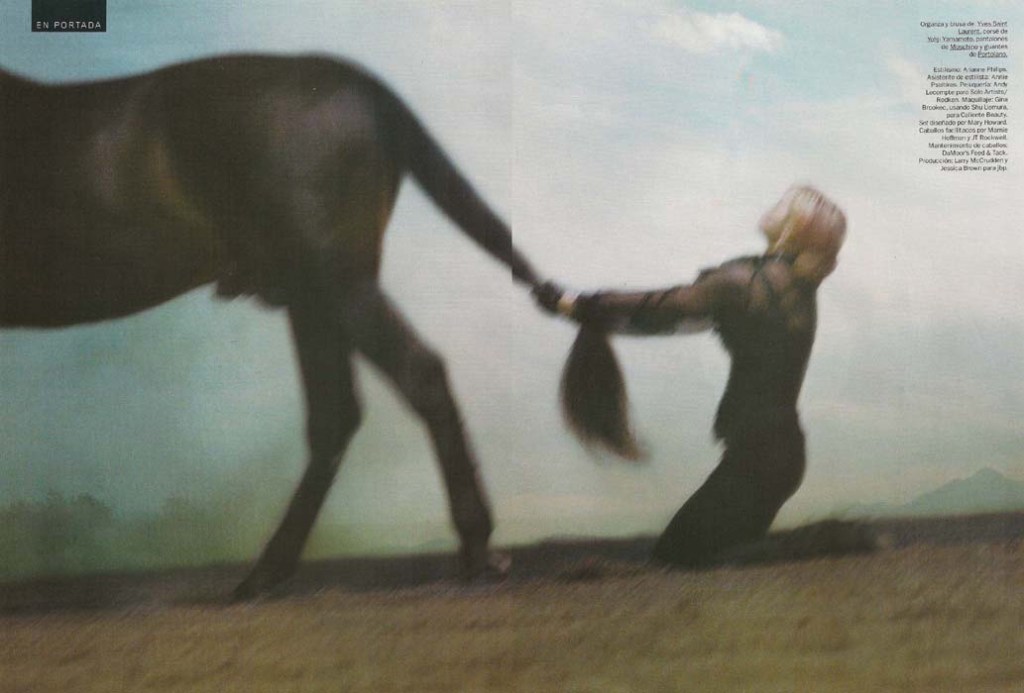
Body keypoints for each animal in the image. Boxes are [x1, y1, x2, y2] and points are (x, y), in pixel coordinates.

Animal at [0, 53, 542, 599]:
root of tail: (362, 83)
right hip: (310, 296)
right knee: (336, 414)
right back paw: (270, 568)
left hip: (335, 280)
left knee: (418, 373)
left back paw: (476, 547)